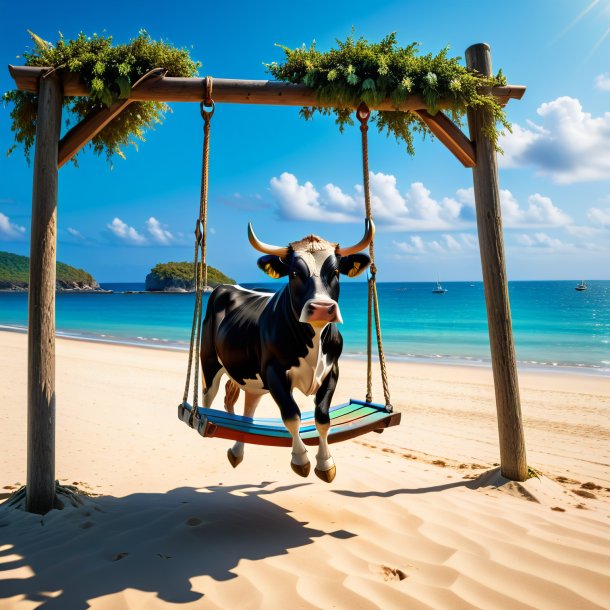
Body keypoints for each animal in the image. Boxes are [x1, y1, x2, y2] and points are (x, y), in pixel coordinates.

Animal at [200, 221, 372, 482]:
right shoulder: (274, 372)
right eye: (294, 274)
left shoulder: (332, 371)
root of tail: (228, 286)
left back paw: (237, 452)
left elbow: (322, 417)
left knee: (248, 410)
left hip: (254, 380)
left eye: (335, 272)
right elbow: (291, 414)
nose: (321, 308)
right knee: (207, 397)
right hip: (210, 362)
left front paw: (325, 464)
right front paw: (300, 459)